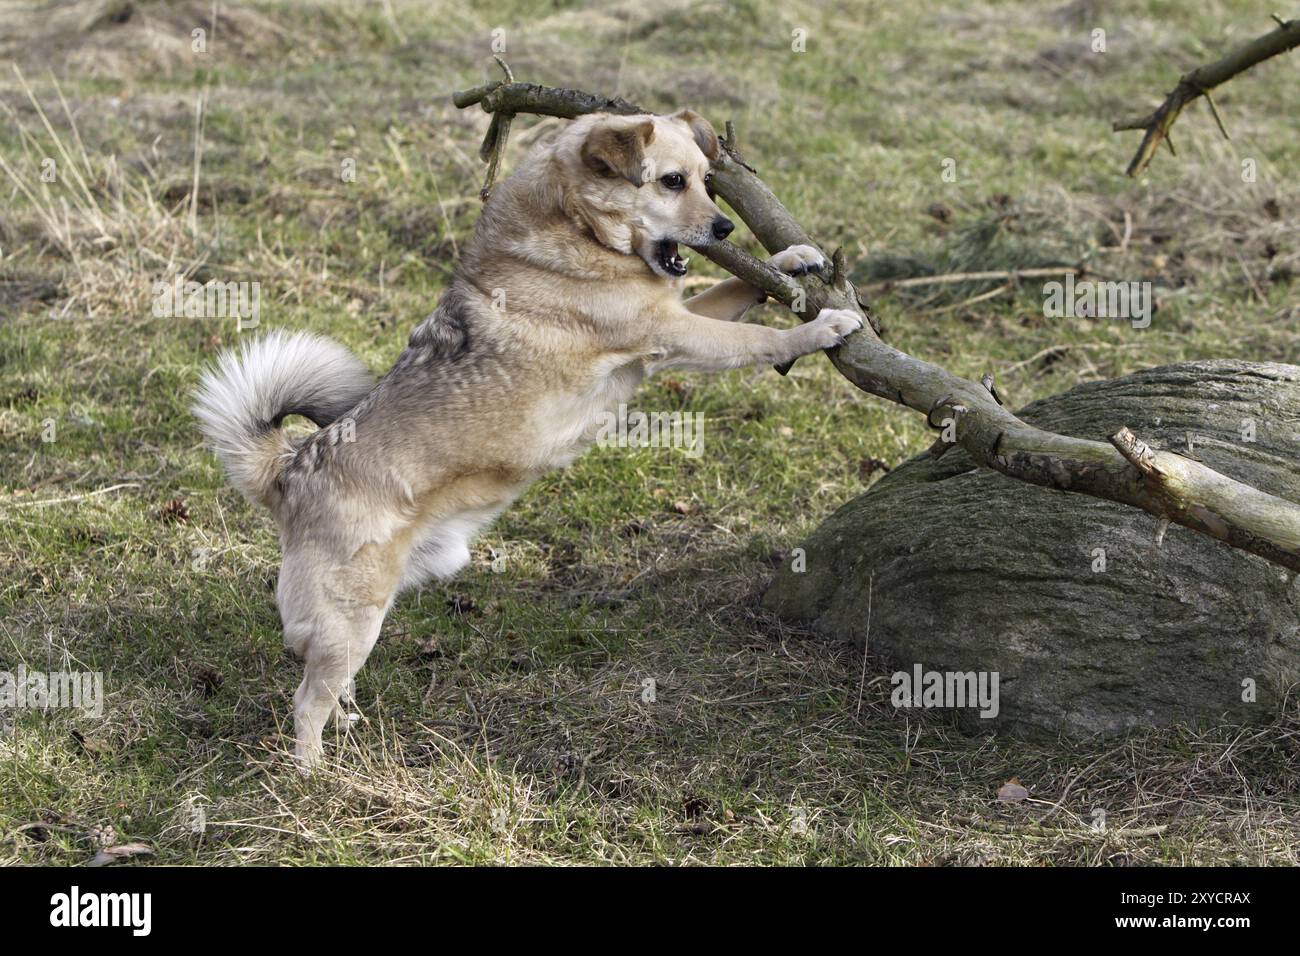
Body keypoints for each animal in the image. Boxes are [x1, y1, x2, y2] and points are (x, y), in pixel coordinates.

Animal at [192, 108, 863, 764]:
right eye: (672, 182)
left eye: (706, 180)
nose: (724, 229)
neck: (577, 228)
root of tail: (290, 470)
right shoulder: (674, 333)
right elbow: (760, 339)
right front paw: (821, 327)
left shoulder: (672, 324)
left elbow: (734, 288)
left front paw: (789, 261)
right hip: (349, 619)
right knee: (307, 703)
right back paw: (316, 778)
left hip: (366, 617)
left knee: (333, 692)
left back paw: (349, 728)